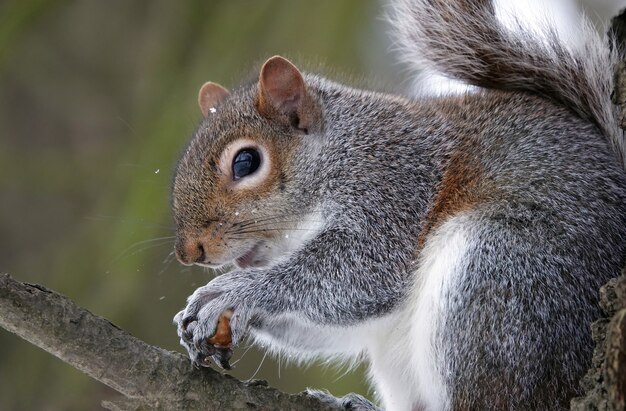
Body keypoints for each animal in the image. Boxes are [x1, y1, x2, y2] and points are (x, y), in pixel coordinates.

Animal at [168, 1, 624, 410]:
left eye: (246, 162)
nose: (189, 251)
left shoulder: (394, 186)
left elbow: (362, 273)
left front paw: (234, 291)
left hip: (500, 280)